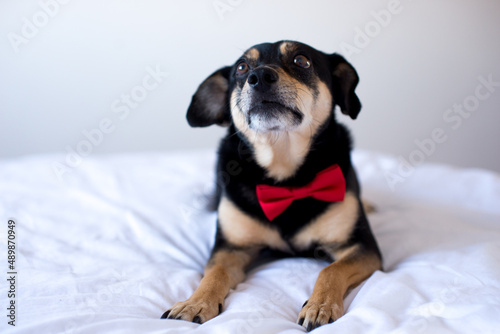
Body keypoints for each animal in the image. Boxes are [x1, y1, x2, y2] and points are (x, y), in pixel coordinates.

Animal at [162, 40, 380, 330]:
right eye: (242, 68)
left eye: (301, 60)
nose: (259, 77)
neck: (285, 179)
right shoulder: (230, 249)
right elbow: (214, 274)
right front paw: (195, 302)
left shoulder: (363, 247)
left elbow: (331, 269)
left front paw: (320, 305)